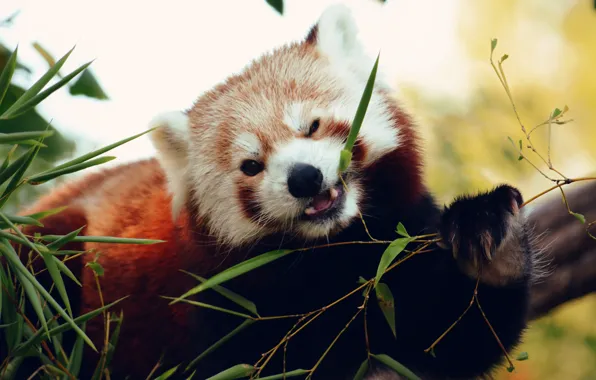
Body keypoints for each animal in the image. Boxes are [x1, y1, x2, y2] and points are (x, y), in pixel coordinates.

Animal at [12, 3, 536, 380]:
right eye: (251, 165)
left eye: (312, 126)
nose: (304, 178)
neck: (334, 252)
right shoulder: (216, 301)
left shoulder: (395, 254)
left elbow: (455, 336)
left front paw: (490, 236)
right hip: (50, 255)